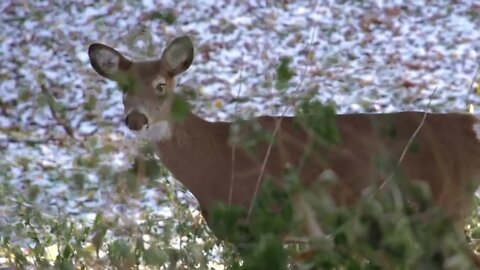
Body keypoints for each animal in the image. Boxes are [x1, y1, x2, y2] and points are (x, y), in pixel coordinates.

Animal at [88, 35, 480, 266]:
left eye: (161, 85)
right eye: (123, 88)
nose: (136, 119)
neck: (218, 162)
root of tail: (466, 128)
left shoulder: (268, 222)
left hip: (435, 209)